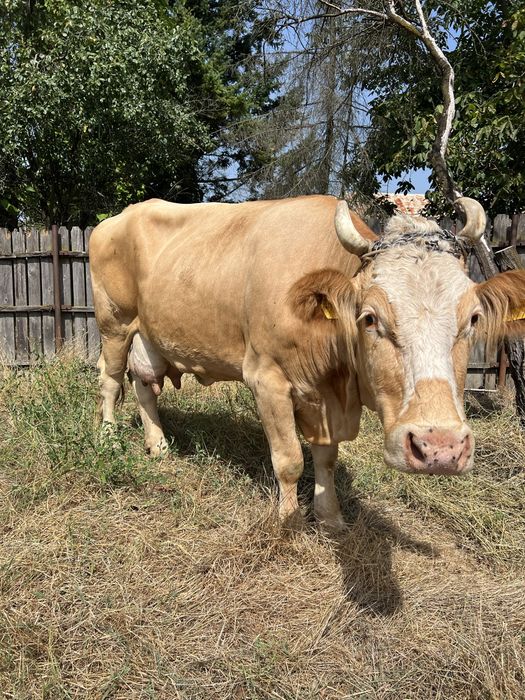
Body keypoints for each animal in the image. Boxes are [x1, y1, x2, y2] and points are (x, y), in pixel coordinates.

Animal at [89, 195, 525, 529]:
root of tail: (121, 215)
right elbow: (289, 460)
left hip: (150, 335)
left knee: (145, 386)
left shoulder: (325, 401)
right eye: (369, 317)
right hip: (114, 323)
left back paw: (159, 445)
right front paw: (291, 521)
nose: (440, 447)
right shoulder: (266, 379)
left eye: (473, 318)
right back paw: (108, 438)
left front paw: (330, 517)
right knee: (111, 380)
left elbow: (326, 460)